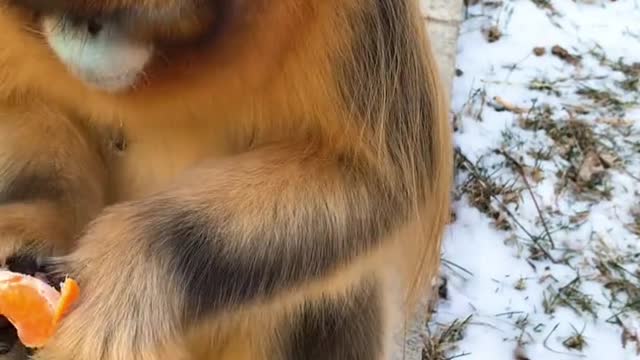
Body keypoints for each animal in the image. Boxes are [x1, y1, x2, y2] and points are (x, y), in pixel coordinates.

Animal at [0, 1, 452, 358]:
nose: (81, 31)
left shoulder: (360, 18)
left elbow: (376, 182)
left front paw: (129, 275)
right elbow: (24, 103)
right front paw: (35, 230)